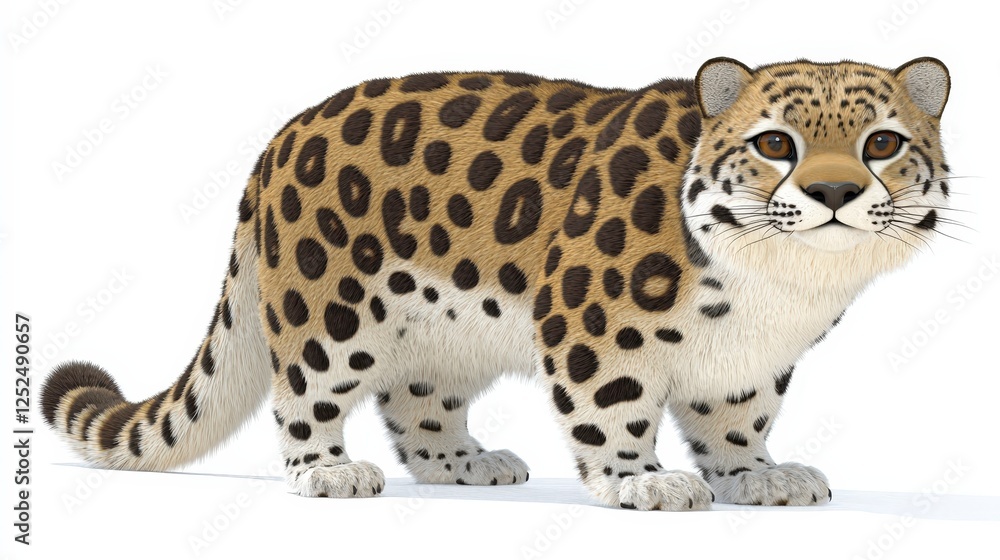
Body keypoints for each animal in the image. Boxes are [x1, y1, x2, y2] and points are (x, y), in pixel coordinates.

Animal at [41, 57, 952, 511]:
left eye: (880, 144)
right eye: (774, 144)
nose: (832, 194)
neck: (781, 284)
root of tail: (282, 136)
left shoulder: (747, 359)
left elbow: (737, 417)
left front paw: (758, 475)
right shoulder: (593, 321)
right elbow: (613, 409)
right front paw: (642, 480)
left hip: (446, 336)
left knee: (416, 404)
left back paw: (464, 463)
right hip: (328, 310)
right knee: (304, 395)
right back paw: (328, 472)